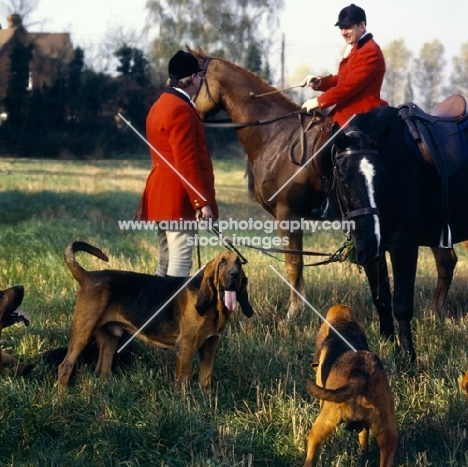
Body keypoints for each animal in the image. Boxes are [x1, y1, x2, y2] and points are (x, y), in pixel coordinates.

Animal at [58, 243, 254, 394]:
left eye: (239, 263)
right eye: (222, 263)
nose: (235, 275)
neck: (214, 306)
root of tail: (88, 276)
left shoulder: (210, 346)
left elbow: (205, 380)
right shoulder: (186, 347)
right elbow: (182, 383)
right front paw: (184, 408)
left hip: (109, 339)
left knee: (103, 370)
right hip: (82, 334)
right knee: (65, 367)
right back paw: (61, 400)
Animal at [189, 47, 458, 348]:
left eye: (190, 79)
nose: (186, 108)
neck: (276, 136)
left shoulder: (287, 214)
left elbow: (293, 265)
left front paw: (293, 314)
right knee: (446, 261)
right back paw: (436, 313)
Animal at [304, 306, 398, 466]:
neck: (344, 326)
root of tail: (357, 372)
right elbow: (364, 437)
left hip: (324, 421)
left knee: (311, 447)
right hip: (388, 432)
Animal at [332, 102, 468, 358]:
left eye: (381, 176)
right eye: (343, 176)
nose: (368, 242)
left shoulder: (403, 243)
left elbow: (402, 304)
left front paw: (408, 356)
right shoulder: (374, 250)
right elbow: (382, 298)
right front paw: (387, 343)